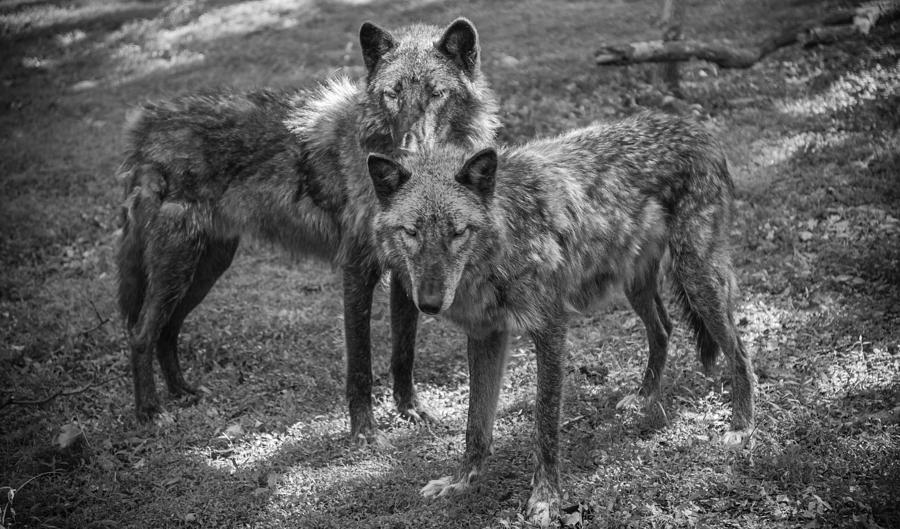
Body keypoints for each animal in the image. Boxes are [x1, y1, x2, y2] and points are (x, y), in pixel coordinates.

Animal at [114, 16, 500, 442]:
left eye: (436, 93)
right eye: (392, 94)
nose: (409, 148)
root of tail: (146, 123)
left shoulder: (406, 276)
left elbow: (404, 352)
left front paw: (409, 410)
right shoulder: (357, 271)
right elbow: (360, 365)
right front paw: (363, 431)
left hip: (204, 269)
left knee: (167, 329)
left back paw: (181, 392)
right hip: (178, 268)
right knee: (141, 332)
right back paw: (150, 411)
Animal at [370, 111, 756, 524]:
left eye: (458, 233)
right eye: (411, 232)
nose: (428, 303)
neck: (508, 234)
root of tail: (696, 127)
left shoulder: (551, 329)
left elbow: (545, 424)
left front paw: (546, 498)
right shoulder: (486, 336)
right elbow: (476, 424)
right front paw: (461, 482)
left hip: (696, 278)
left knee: (740, 350)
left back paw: (742, 427)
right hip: (635, 285)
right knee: (664, 329)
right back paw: (644, 396)